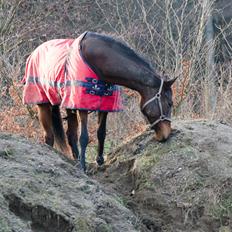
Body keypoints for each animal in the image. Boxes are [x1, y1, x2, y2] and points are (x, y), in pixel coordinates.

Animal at [22, 31, 177, 171]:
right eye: (170, 103)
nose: (165, 135)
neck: (96, 63)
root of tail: (36, 51)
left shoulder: (104, 107)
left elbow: (101, 133)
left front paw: (99, 160)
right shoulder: (82, 107)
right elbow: (84, 137)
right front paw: (83, 167)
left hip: (69, 104)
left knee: (70, 134)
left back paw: (76, 159)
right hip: (43, 104)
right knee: (49, 136)